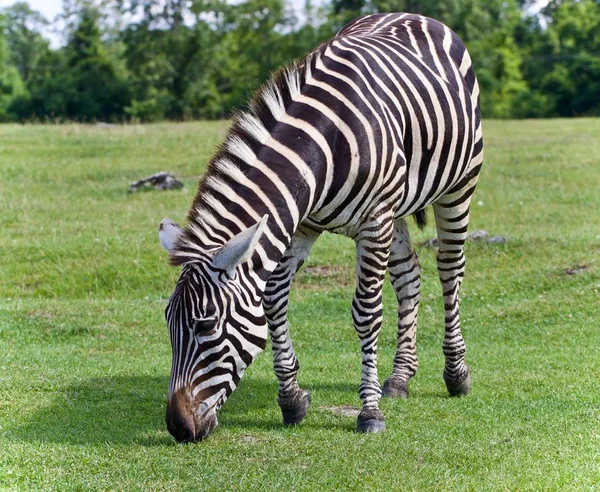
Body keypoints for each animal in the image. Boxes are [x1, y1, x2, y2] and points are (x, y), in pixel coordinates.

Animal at [159, 12, 482, 442]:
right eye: (168, 322)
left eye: (206, 325)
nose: (178, 428)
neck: (321, 147)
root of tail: (413, 15)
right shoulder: (298, 224)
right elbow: (273, 300)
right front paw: (292, 399)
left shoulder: (373, 220)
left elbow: (366, 312)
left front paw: (369, 411)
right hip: (396, 206)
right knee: (409, 274)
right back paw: (399, 377)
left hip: (459, 184)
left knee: (449, 270)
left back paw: (456, 373)